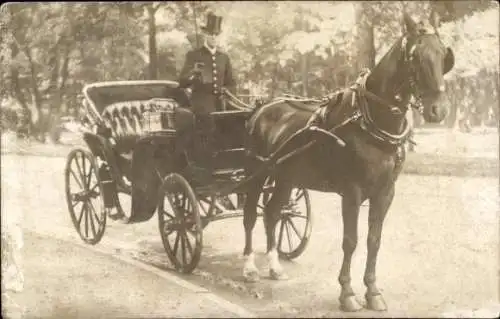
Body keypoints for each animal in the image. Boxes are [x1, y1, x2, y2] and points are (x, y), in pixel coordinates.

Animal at [240, 12, 456, 312]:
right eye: (415, 55)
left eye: (442, 54)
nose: (439, 110)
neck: (369, 120)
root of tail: (263, 107)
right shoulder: (352, 192)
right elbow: (350, 241)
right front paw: (347, 293)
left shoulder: (385, 192)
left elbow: (374, 241)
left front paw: (373, 292)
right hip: (257, 172)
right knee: (250, 214)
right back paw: (249, 267)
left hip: (285, 176)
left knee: (272, 212)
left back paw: (274, 266)